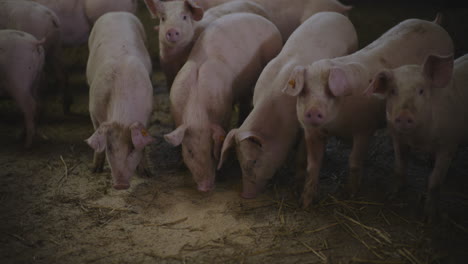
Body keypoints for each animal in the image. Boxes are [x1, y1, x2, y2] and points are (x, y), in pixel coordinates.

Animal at [85, 12, 154, 190]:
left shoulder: (148, 113)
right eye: (109, 148)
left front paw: (147, 174)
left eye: (131, 148)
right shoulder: (93, 110)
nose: (121, 185)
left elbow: (144, 145)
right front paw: (95, 170)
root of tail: (115, 12)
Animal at [165, 12, 282, 192]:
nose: (205, 187)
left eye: (211, 150)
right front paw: (180, 165)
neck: (197, 113)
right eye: (190, 151)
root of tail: (267, 21)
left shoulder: (225, 109)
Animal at [217, 12, 358, 198]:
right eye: (239, 161)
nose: (245, 195)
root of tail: (339, 16)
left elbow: (301, 155)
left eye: (254, 161)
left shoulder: (305, 125)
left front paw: (296, 185)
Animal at [282, 14, 454, 208]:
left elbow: (354, 162)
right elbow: (313, 165)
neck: (335, 126)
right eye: (304, 90)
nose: (312, 111)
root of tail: (434, 23)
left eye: (329, 90)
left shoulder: (364, 128)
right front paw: (305, 202)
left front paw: (349, 194)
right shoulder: (312, 132)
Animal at [366, 53, 468, 219]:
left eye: (421, 91)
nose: (403, 115)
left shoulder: (448, 144)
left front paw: (429, 217)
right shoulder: (397, 139)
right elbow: (399, 167)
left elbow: (435, 181)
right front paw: (391, 195)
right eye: (393, 91)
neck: (418, 140)